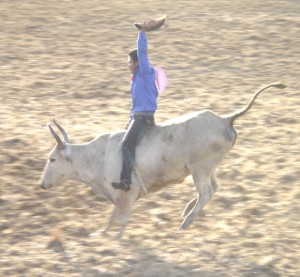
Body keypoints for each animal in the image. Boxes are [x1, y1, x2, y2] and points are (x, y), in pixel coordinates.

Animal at [38, 82, 284, 237]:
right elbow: (115, 215)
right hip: (209, 168)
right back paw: (187, 212)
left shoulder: (127, 192)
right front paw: (102, 233)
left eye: (52, 159)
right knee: (213, 188)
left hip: (199, 168)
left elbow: (118, 217)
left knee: (206, 192)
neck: (95, 157)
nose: (41, 183)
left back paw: (185, 223)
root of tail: (225, 119)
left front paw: (113, 236)